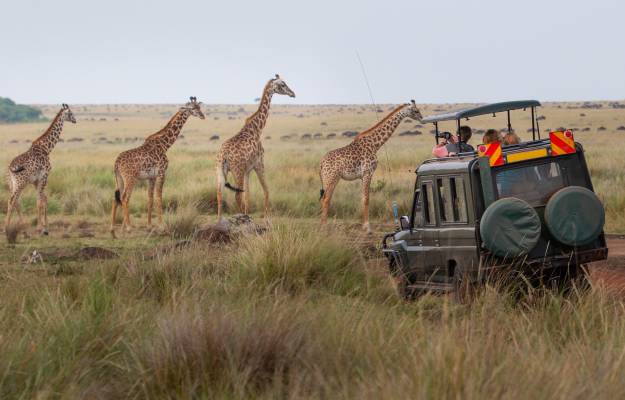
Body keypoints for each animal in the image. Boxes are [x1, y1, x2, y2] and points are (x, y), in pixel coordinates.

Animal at [5, 104, 76, 234]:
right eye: (70, 113)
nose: (75, 120)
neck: (46, 148)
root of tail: (10, 168)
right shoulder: (44, 176)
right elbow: (40, 201)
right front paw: (41, 228)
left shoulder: (36, 180)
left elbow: (41, 199)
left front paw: (44, 226)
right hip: (21, 183)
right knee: (12, 200)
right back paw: (6, 227)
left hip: (12, 183)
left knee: (15, 201)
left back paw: (22, 226)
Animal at [108, 97, 204, 236]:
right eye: (192, 108)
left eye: (199, 107)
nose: (203, 116)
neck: (165, 145)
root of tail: (116, 163)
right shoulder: (162, 173)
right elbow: (159, 197)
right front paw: (162, 226)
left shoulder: (151, 177)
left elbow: (150, 198)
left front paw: (149, 226)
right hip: (130, 178)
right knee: (125, 197)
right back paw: (129, 227)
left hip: (119, 178)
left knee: (116, 198)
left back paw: (113, 229)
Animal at [216, 75, 296, 222]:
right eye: (282, 84)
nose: (293, 93)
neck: (257, 128)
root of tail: (223, 155)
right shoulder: (259, 163)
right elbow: (266, 190)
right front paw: (266, 218)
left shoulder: (248, 170)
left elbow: (248, 195)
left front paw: (248, 215)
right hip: (237, 170)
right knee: (237, 195)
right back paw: (240, 217)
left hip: (220, 171)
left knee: (219, 194)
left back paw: (220, 221)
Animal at [320, 99, 422, 231]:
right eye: (416, 110)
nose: (421, 117)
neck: (375, 145)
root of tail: (321, 163)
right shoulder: (368, 172)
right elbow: (367, 198)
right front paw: (367, 226)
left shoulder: (363, 176)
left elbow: (363, 197)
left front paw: (364, 224)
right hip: (331, 178)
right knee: (326, 199)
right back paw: (324, 226)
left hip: (331, 179)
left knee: (325, 199)